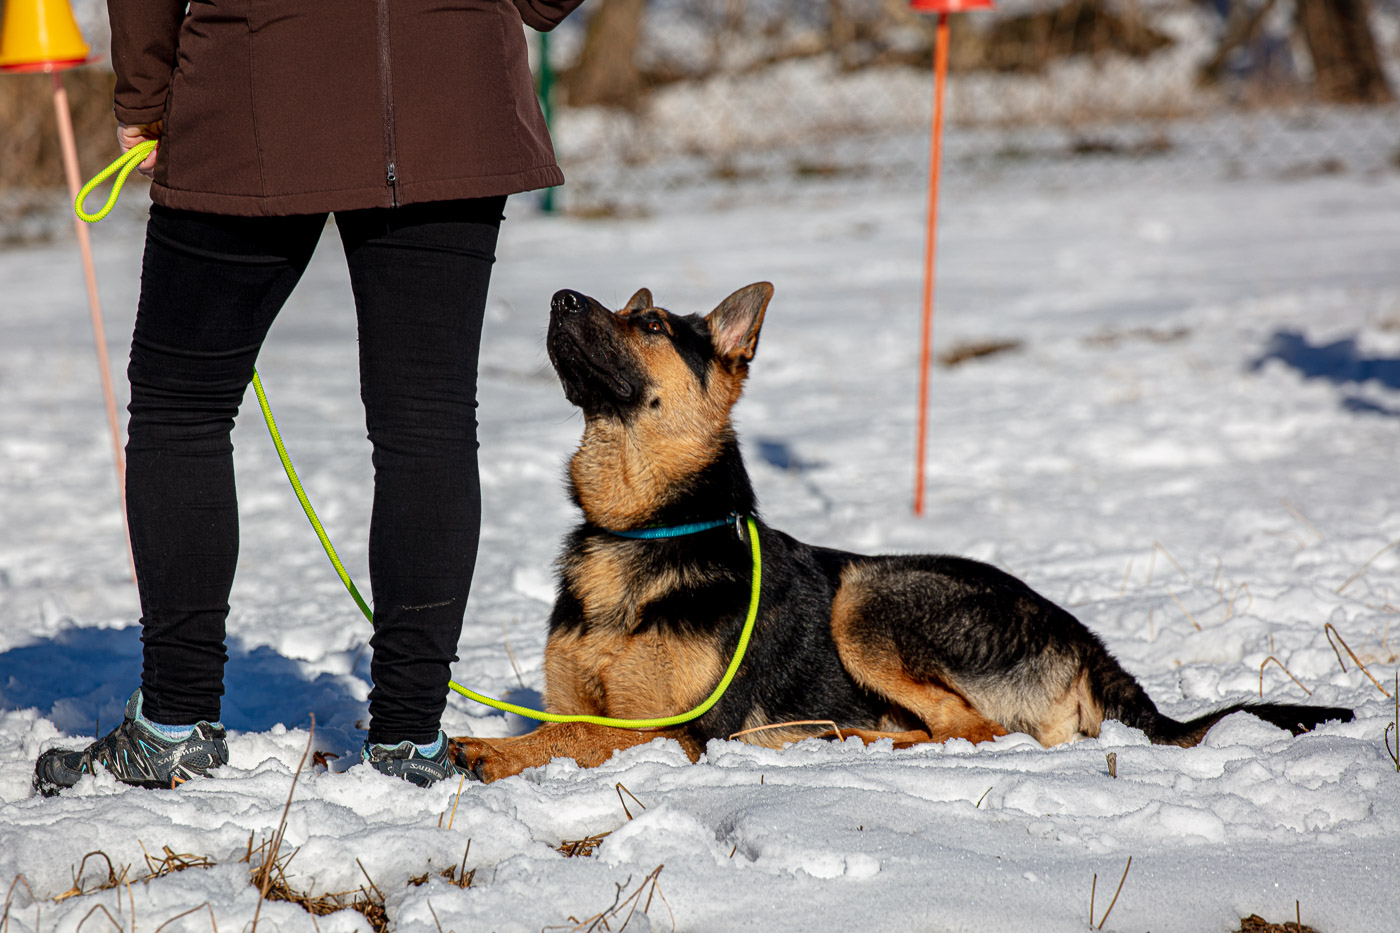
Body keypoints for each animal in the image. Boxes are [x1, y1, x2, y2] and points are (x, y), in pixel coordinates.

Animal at [448, 281, 1344, 778]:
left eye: (654, 326)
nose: (560, 296)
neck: (644, 531)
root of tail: (1085, 640)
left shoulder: (677, 730)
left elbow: (577, 735)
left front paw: (488, 750)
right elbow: (563, 719)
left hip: (869, 595)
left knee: (972, 729)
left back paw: (851, 738)